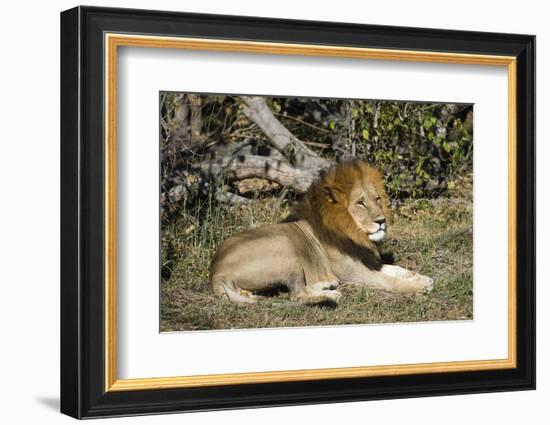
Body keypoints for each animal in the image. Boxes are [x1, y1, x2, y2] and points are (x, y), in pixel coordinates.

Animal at [209, 160, 434, 304]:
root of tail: (215, 270)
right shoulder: (355, 272)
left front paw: (421, 278)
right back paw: (332, 295)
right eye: (360, 203)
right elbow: (390, 280)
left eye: (377, 199)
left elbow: (396, 269)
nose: (382, 221)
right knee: (296, 295)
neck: (355, 233)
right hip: (286, 247)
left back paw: (328, 286)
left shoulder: (368, 262)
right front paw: (417, 288)